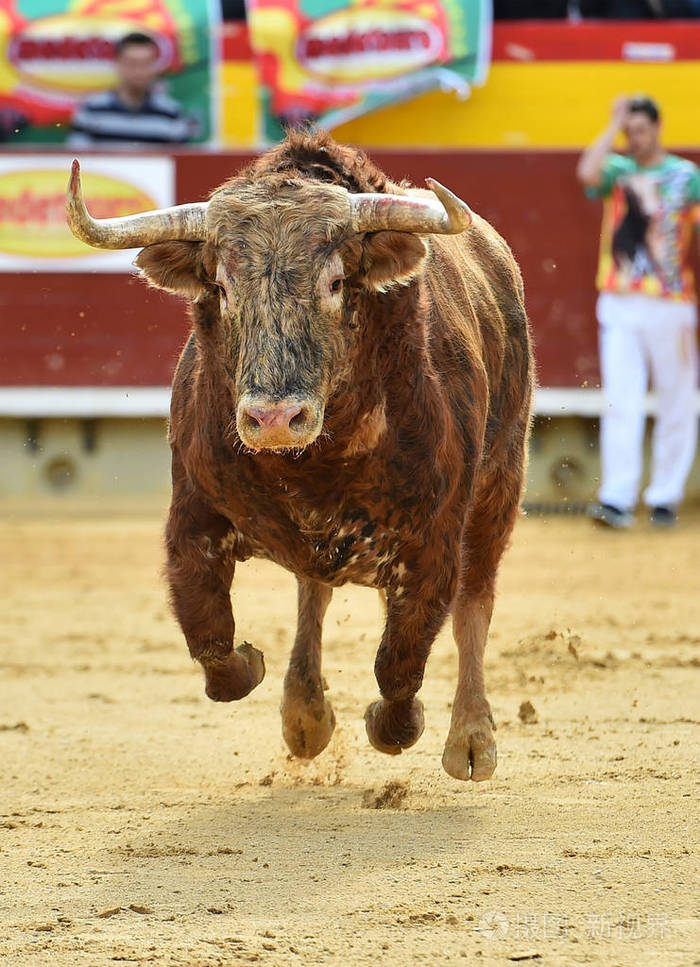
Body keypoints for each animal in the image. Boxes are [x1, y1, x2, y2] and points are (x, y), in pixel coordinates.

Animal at [68, 132, 532, 784]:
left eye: (336, 283)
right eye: (223, 287)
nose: (272, 420)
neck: (316, 464)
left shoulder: (434, 538)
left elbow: (402, 658)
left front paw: (397, 725)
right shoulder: (192, 515)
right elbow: (212, 639)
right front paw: (256, 667)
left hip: (500, 485)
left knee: (475, 602)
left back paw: (470, 741)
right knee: (313, 591)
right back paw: (305, 715)